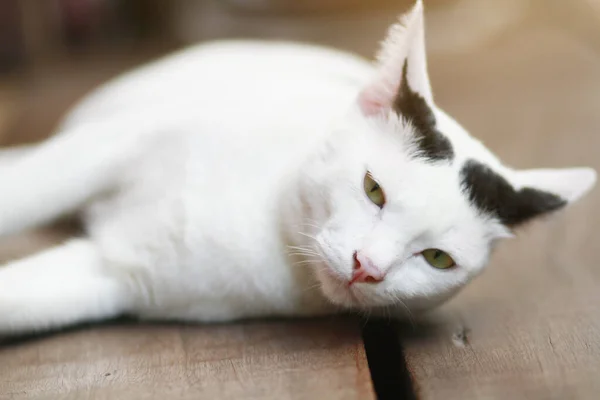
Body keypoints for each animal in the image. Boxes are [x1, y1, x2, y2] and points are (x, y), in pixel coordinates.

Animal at [0, 1, 596, 336]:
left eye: (436, 259)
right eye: (374, 190)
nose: (366, 267)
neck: (265, 229)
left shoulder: (115, 275)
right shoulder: (116, 143)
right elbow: (23, 194)